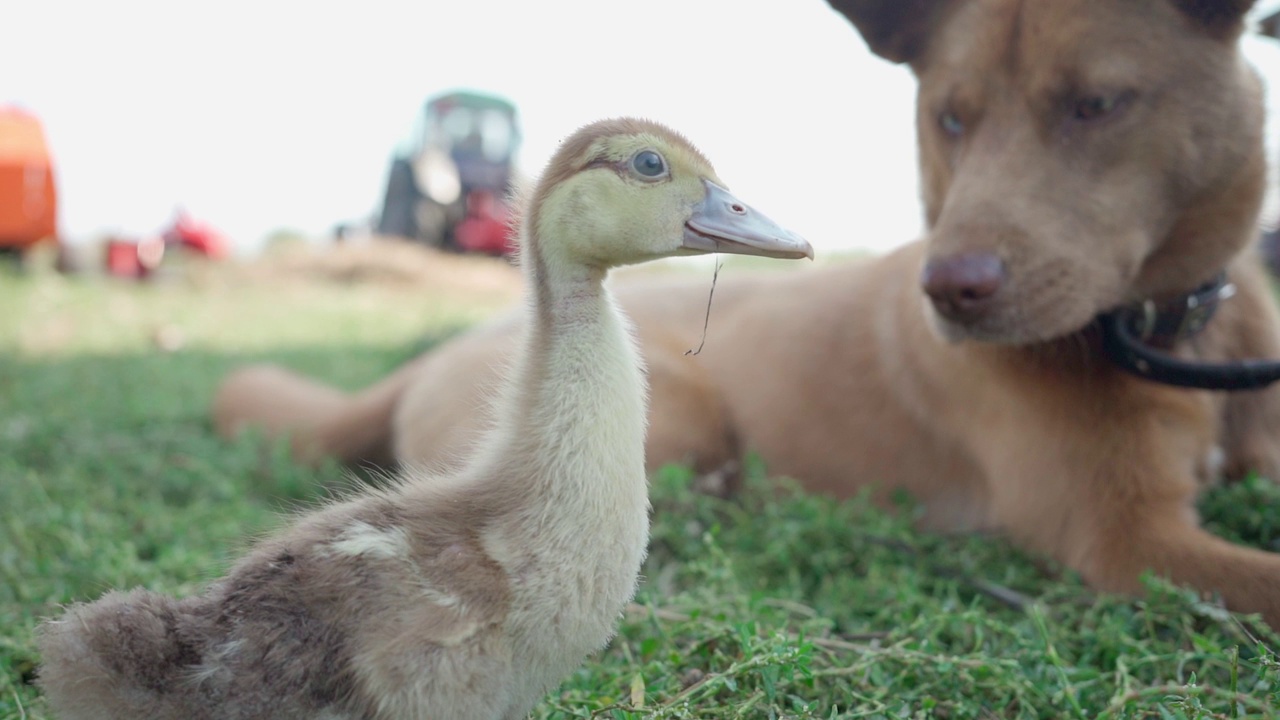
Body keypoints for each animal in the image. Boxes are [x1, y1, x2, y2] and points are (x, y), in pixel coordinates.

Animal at [220, 0, 1280, 625]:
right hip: (682, 417)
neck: (1177, 334)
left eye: (1099, 104)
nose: (951, 293)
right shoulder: (1121, 537)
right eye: (948, 116)